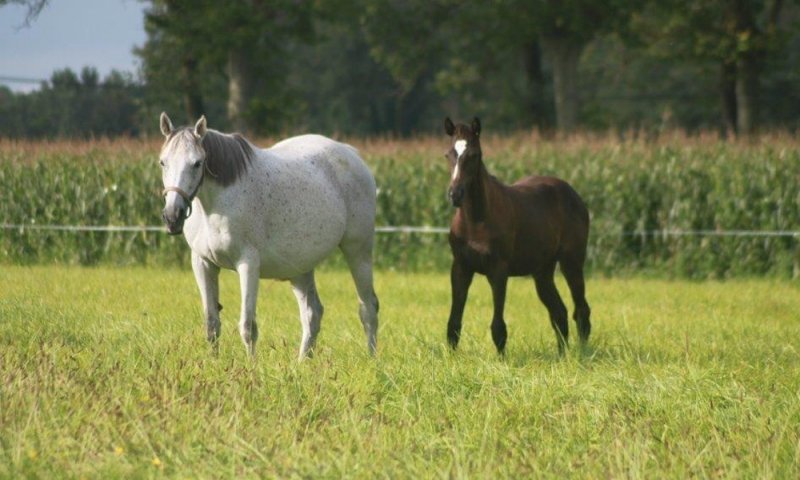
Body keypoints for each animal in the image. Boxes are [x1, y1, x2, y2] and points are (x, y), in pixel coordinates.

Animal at [157, 112, 379, 359]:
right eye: (163, 162)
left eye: (197, 163)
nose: (172, 216)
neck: (216, 205)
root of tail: (352, 154)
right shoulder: (203, 263)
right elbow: (211, 324)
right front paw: (213, 363)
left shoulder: (248, 264)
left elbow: (247, 326)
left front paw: (251, 366)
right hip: (300, 269)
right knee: (312, 314)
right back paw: (302, 362)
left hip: (358, 252)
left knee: (368, 308)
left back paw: (372, 359)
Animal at [443, 117, 591, 355]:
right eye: (449, 154)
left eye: (474, 155)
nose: (455, 195)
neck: (476, 219)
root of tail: (573, 194)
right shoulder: (461, 267)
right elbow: (454, 322)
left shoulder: (498, 270)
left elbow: (498, 326)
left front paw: (501, 358)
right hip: (542, 271)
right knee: (559, 312)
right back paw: (562, 355)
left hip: (572, 263)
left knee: (582, 310)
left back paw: (582, 353)